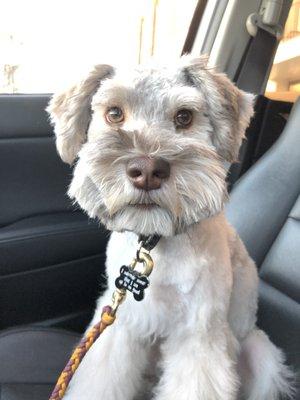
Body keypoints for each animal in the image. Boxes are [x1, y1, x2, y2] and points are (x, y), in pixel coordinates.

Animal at [48, 57, 294, 400]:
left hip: (262, 356)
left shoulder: (200, 334)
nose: (147, 170)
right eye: (114, 113)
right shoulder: (121, 324)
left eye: (184, 117)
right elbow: (103, 379)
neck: (157, 245)